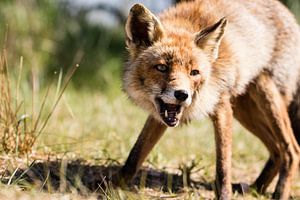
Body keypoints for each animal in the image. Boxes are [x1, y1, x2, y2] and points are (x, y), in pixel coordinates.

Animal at [115, 0, 300, 199]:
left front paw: (225, 195)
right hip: (245, 111)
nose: (182, 94)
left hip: (267, 97)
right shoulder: (160, 116)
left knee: (292, 151)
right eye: (162, 67)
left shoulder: (222, 105)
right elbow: (135, 155)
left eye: (194, 72)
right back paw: (255, 188)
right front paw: (112, 187)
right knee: (277, 151)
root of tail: (287, 12)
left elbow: (223, 167)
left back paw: (278, 192)